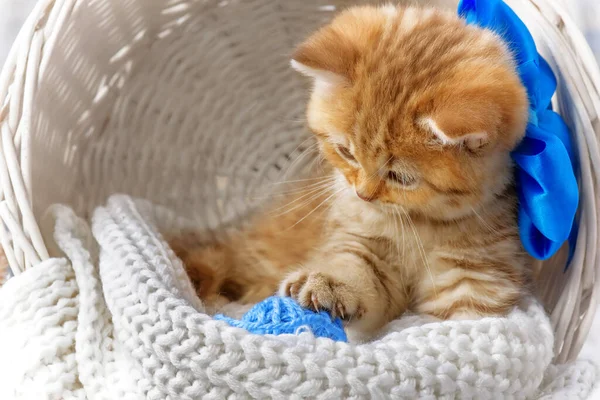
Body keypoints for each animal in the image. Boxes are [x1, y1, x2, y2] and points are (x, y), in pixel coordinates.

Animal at [171, 4, 532, 336]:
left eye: (401, 177)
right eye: (347, 153)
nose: (363, 194)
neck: (421, 223)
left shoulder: (477, 272)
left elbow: (460, 320)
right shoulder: (359, 243)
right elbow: (354, 267)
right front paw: (327, 286)